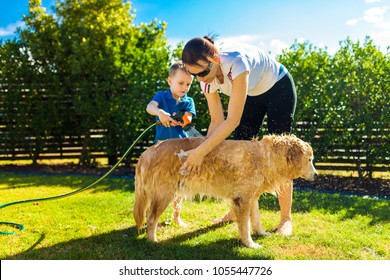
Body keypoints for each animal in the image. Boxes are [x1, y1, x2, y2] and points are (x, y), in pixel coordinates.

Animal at [134, 135, 316, 248]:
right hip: (164, 195)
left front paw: (262, 233)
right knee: (151, 218)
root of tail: (146, 152)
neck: (267, 158)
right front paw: (250, 244)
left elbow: (256, 220)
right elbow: (245, 226)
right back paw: (153, 241)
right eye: (310, 160)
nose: (316, 174)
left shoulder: (251, 198)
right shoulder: (242, 200)